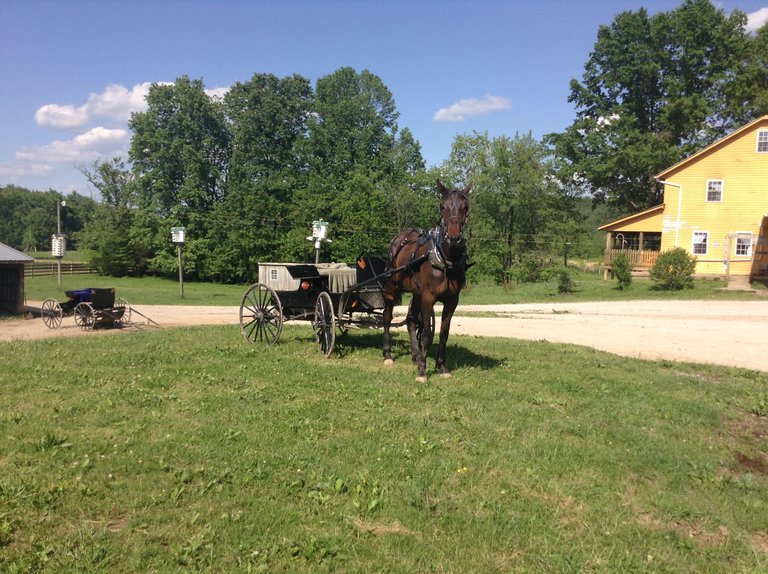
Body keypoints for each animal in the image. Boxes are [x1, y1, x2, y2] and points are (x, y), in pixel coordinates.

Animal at [380, 181, 472, 382]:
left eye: (465, 207)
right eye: (442, 206)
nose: (454, 237)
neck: (445, 260)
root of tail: (401, 237)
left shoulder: (452, 300)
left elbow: (443, 333)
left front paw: (441, 367)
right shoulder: (428, 297)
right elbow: (428, 334)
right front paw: (422, 370)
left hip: (416, 292)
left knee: (411, 320)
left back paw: (415, 354)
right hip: (392, 286)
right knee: (387, 317)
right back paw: (388, 355)